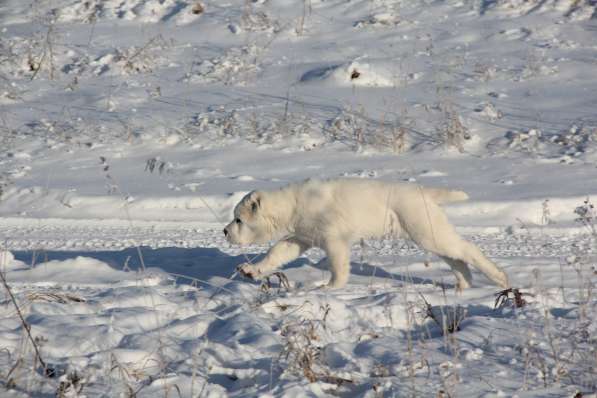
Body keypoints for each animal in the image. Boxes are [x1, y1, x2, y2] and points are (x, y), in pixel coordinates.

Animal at [224, 180, 508, 290]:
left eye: (239, 219)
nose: (225, 231)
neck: (293, 204)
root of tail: (426, 192)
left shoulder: (333, 237)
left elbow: (338, 263)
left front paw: (331, 287)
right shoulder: (302, 236)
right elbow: (278, 251)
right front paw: (250, 270)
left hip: (421, 225)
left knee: (466, 248)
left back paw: (499, 277)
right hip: (428, 228)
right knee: (455, 255)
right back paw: (464, 285)